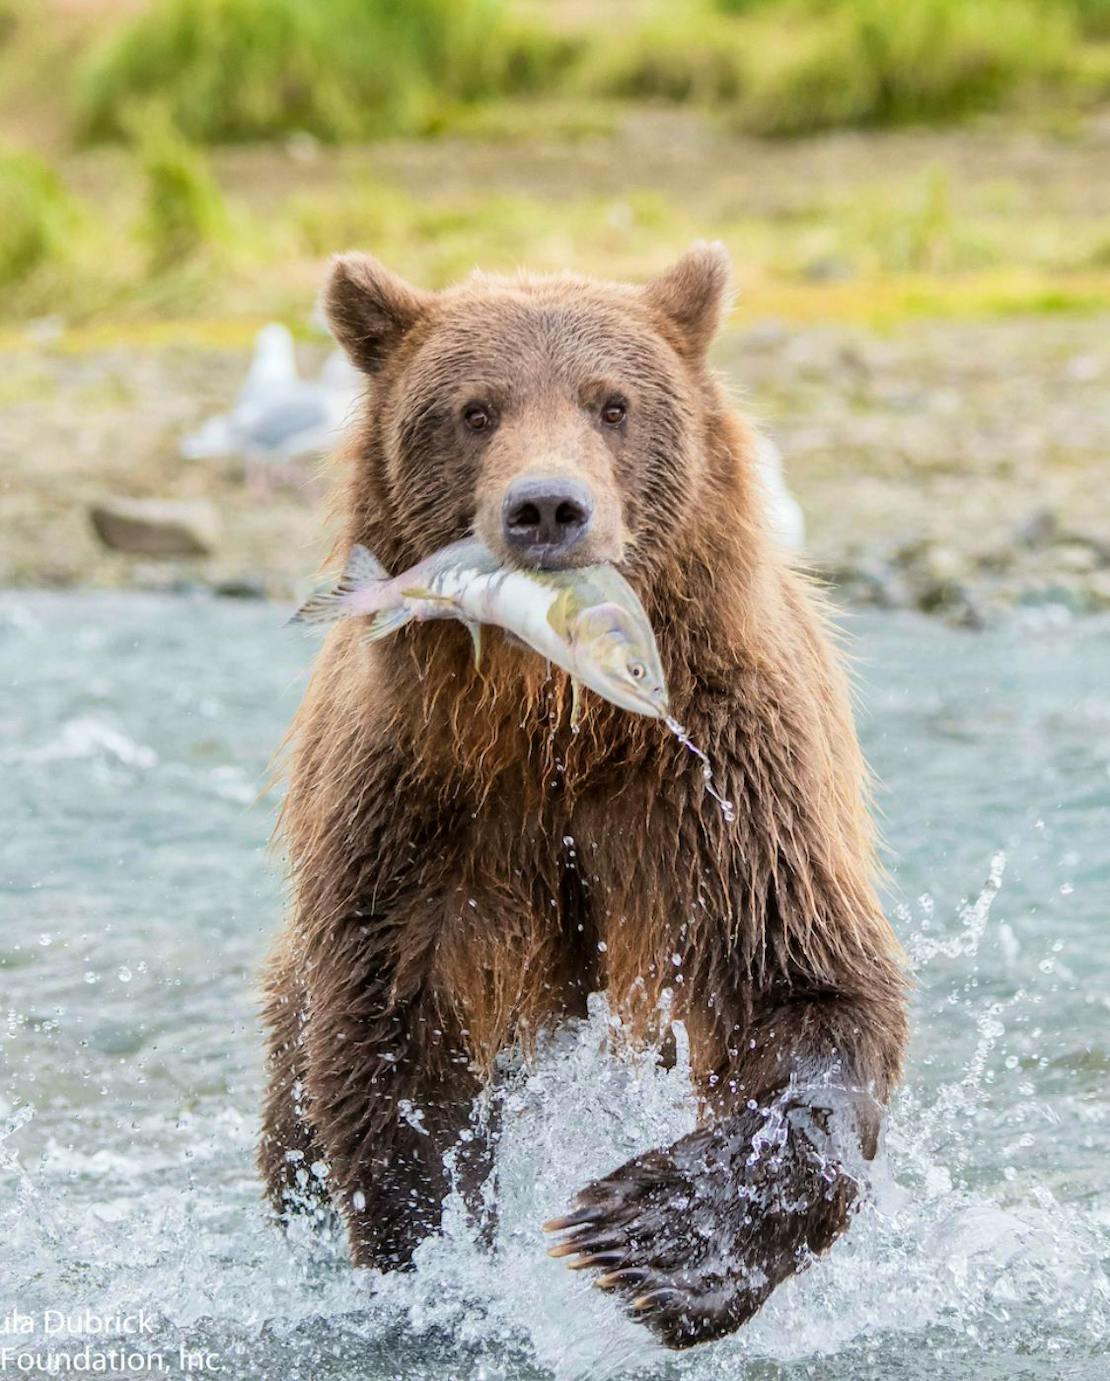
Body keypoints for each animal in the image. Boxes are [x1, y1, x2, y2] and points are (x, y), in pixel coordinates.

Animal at [262, 243, 911, 1342]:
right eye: (475, 408)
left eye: (612, 402)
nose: (546, 508)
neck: (556, 717)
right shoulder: (421, 805)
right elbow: (396, 1042)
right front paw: (434, 1256)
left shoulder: (721, 778)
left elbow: (803, 985)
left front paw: (648, 1241)